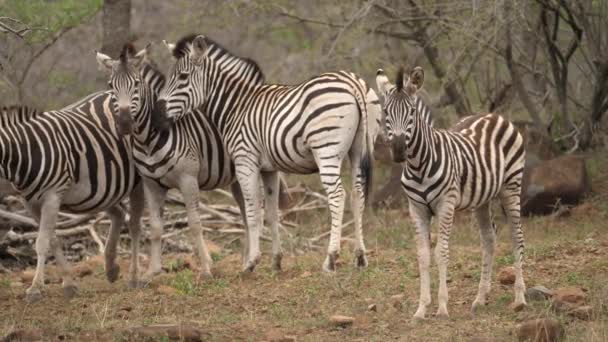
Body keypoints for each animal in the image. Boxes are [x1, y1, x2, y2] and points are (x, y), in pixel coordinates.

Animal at [0, 99, 144, 302]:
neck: (25, 152)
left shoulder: (52, 195)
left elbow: (42, 242)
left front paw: (35, 288)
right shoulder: (31, 203)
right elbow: (52, 239)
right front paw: (68, 283)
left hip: (139, 179)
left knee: (135, 225)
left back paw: (133, 277)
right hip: (104, 187)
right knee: (119, 214)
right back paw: (111, 268)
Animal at [153, 34, 380, 274]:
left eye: (183, 77)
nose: (156, 116)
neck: (236, 106)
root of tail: (352, 81)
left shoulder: (245, 161)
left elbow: (253, 212)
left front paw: (251, 262)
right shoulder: (269, 169)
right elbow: (272, 213)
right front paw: (276, 261)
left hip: (326, 149)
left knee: (337, 195)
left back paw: (330, 259)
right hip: (357, 150)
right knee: (357, 194)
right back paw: (360, 256)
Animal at [372, 66, 524, 318]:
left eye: (412, 111)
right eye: (386, 112)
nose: (399, 150)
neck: (418, 165)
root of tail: (494, 115)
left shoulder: (446, 204)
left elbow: (441, 252)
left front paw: (442, 307)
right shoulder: (416, 208)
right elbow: (423, 256)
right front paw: (421, 308)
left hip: (511, 186)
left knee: (516, 236)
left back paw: (520, 298)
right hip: (482, 199)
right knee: (489, 238)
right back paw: (480, 298)